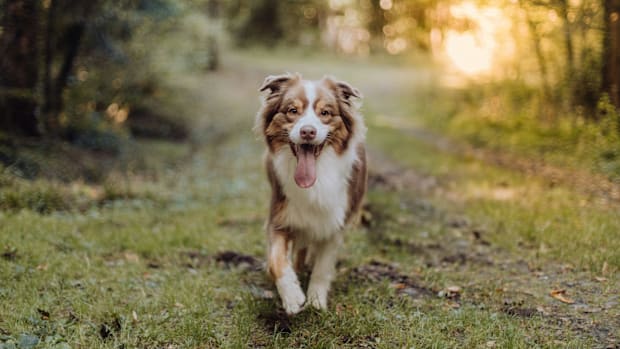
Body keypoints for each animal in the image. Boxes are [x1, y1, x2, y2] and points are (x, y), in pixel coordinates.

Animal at [254, 72, 366, 314]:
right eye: (292, 110)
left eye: (325, 113)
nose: (307, 131)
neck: (317, 179)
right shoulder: (280, 215)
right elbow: (276, 261)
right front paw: (292, 296)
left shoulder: (335, 223)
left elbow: (323, 267)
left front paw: (316, 300)